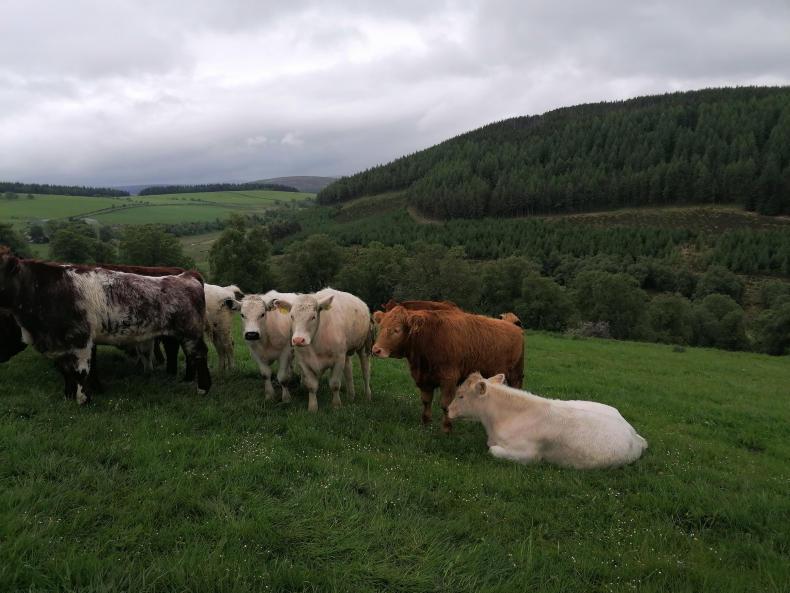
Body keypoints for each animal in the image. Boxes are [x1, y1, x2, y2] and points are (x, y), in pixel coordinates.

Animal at [0, 248, 211, 404]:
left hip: (190, 332)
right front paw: (68, 396)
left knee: (199, 354)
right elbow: (65, 370)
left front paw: (84, 399)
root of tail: (186, 276)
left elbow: (81, 372)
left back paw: (203, 388)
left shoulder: (81, 339)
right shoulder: (61, 344)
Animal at [372, 305, 524, 432]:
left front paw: (446, 428)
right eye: (380, 327)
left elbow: (446, 404)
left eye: (396, 330)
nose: (376, 350)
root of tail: (511, 324)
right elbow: (426, 401)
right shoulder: (424, 379)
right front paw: (425, 423)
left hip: (516, 374)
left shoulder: (449, 379)